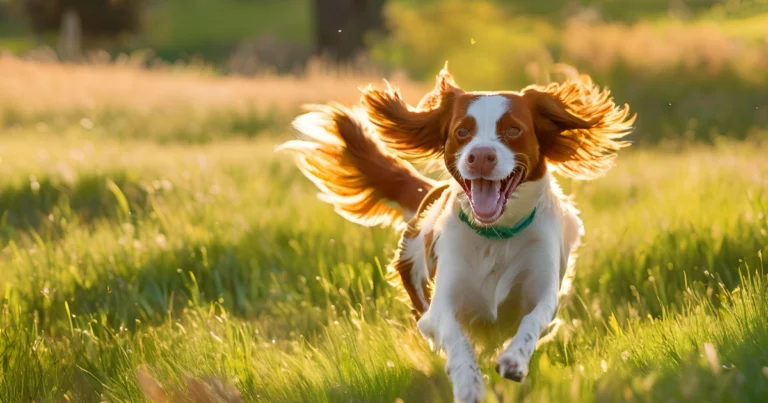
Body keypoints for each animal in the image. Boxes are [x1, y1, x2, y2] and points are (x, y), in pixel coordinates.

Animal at [280, 64, 632, 402]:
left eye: (513, 130)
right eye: (462, 131)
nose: (481, 157)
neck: (496, 236)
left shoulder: (543, 294)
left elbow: (531, 323)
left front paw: (514, 361)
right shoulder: (441, 307)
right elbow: (458, 342)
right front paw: (468, 385)